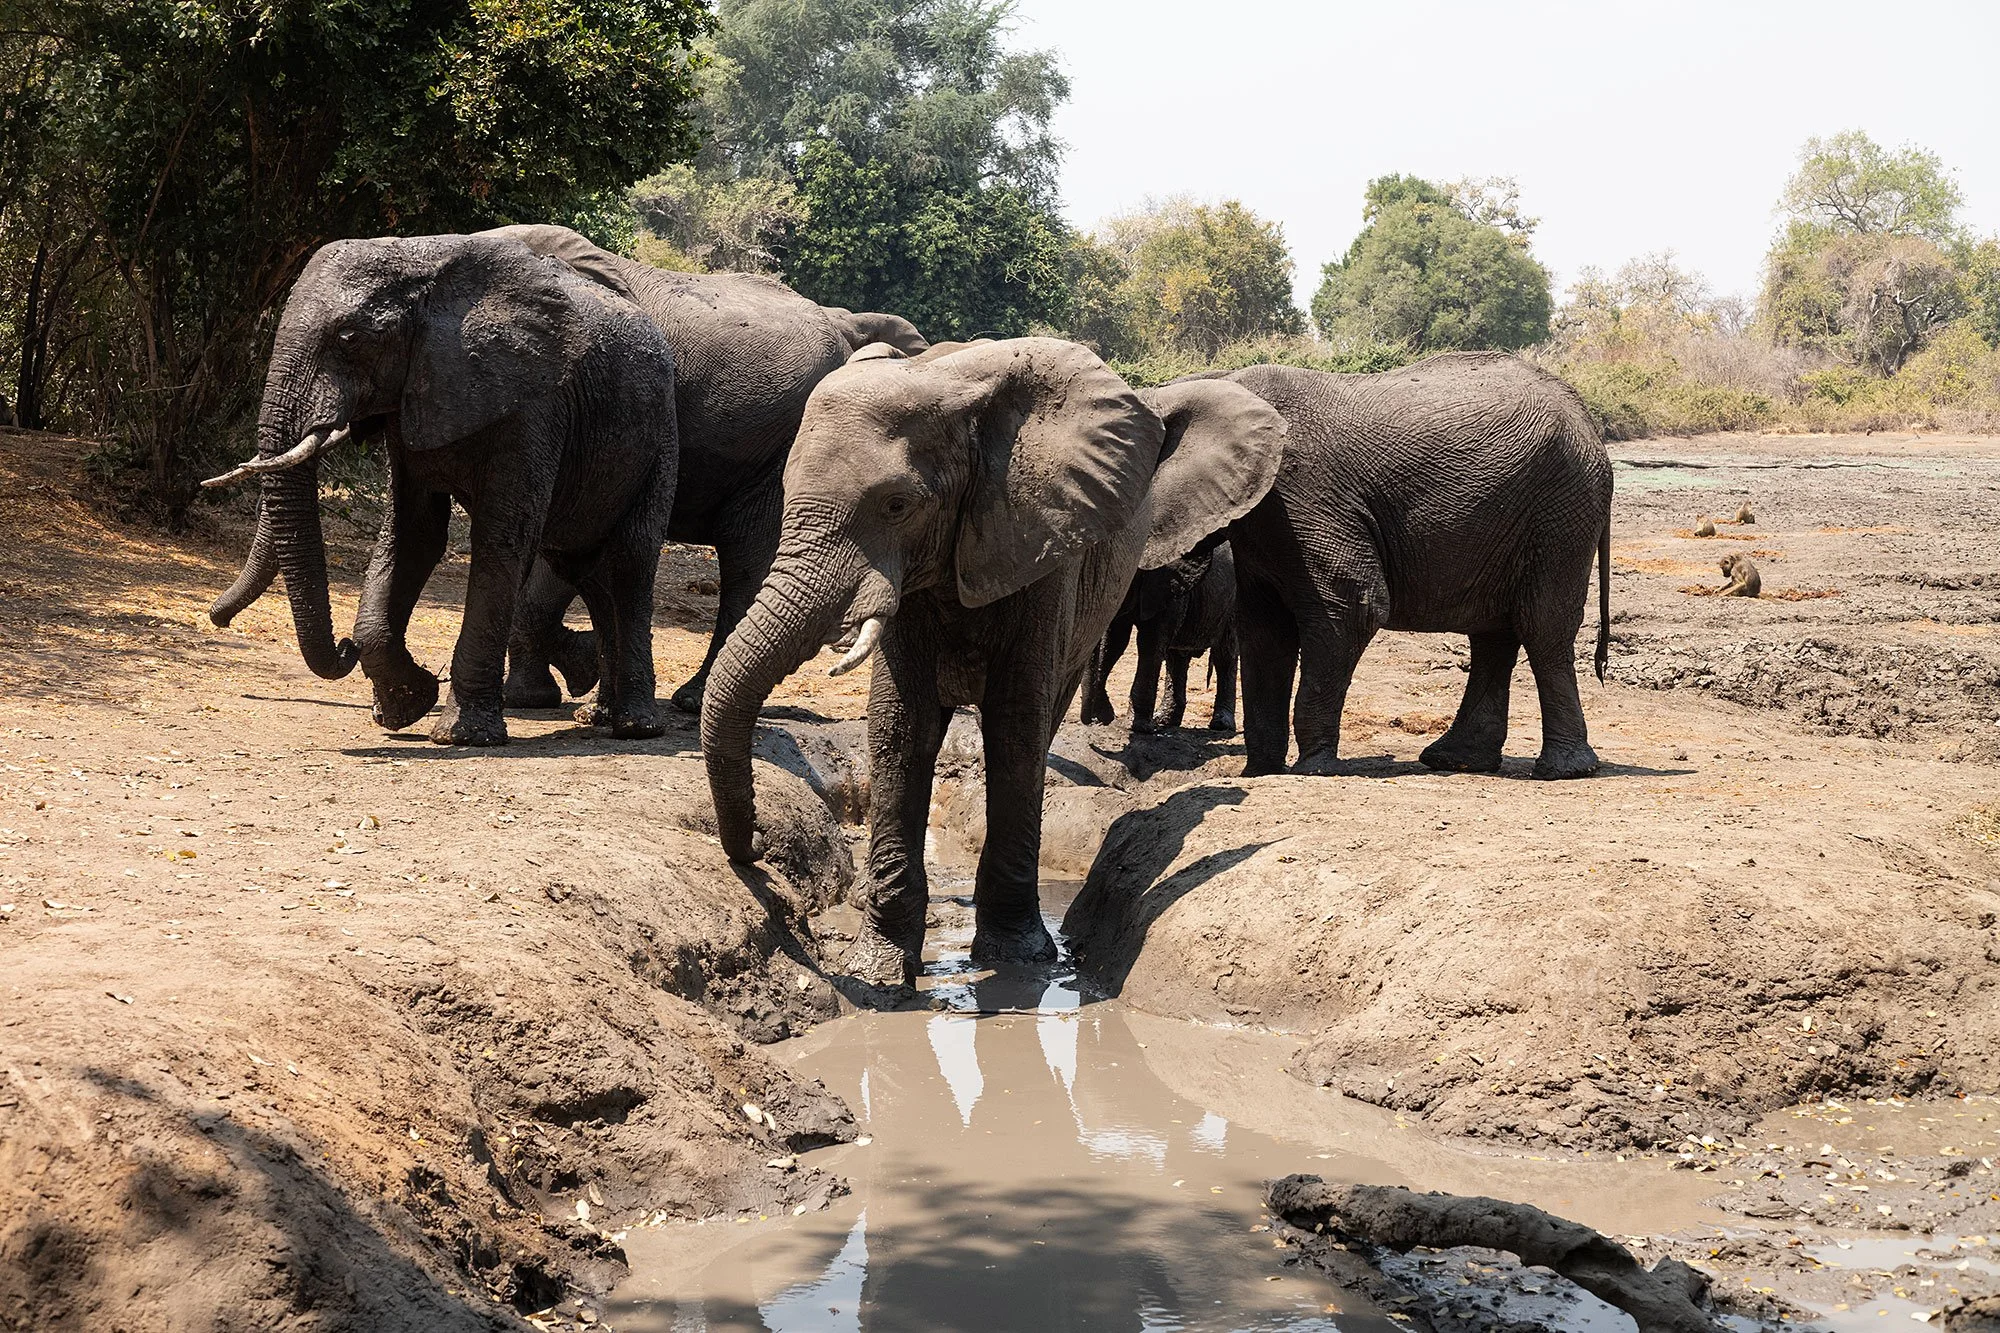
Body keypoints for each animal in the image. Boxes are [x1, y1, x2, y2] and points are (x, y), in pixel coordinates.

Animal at [206, 232, 678, 745]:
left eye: (350, 338)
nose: (217, 617)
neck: (426, 264)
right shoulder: (413, 398)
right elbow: (412, 536)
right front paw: (404, 707)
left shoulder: (535, 409)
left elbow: (503, 542)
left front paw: (462, 735)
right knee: (585, 569)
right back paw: (597, 712)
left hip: (661, 443)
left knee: (629, 563)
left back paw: (635, 726)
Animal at [479, 226, 929, 716]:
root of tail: (841, 323)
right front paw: (542, 694)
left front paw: (550, 690)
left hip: (784, 441)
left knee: (745, 559)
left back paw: (692, 701)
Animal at [1080, 541, 1238, 734]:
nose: (1091, 721)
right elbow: (1114, 642)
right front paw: (1105, 717)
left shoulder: (1170, 587)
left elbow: (1150, 643)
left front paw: (1137, 727)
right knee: (1176, 658)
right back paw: (1164, 720)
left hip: (1234, 603)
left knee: (1224, 654)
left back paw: (1221, 724)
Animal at [1211, 351, 1612, 780]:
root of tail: (1585, 415)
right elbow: (1264, 629)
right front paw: (1259, 772)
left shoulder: (1301, 496)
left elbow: (1353, 608)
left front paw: (1314, 770)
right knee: (1495, 633)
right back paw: (1457, 760)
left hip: (1561, 508)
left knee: (1543, 626)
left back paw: (1562, 770)